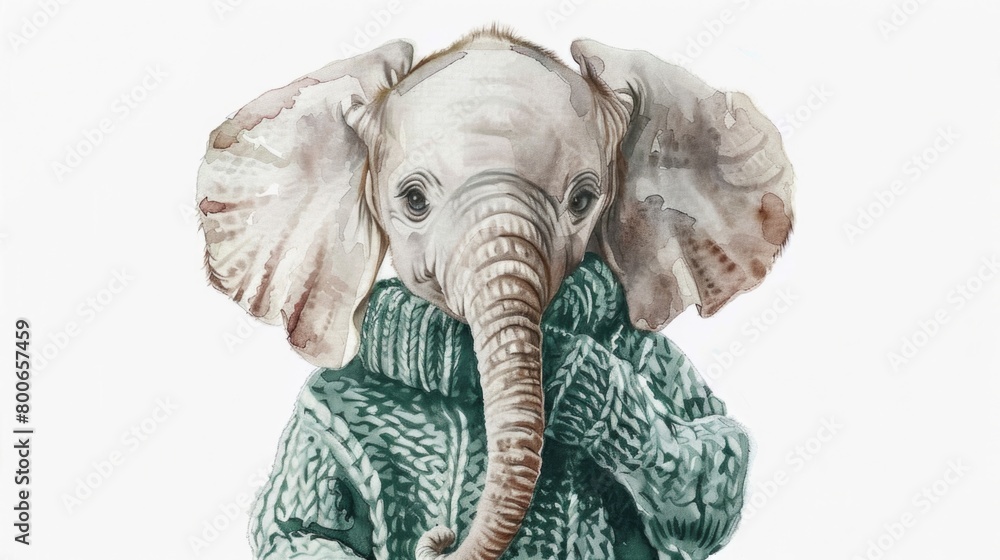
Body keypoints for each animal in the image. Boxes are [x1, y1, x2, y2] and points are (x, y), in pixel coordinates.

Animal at [197, 27, 793, 560]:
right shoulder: (316, 409)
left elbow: (714, 463)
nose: (439, 541)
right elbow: (297, 532)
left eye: (583, 200)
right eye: (414, 200)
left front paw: (573, 367)